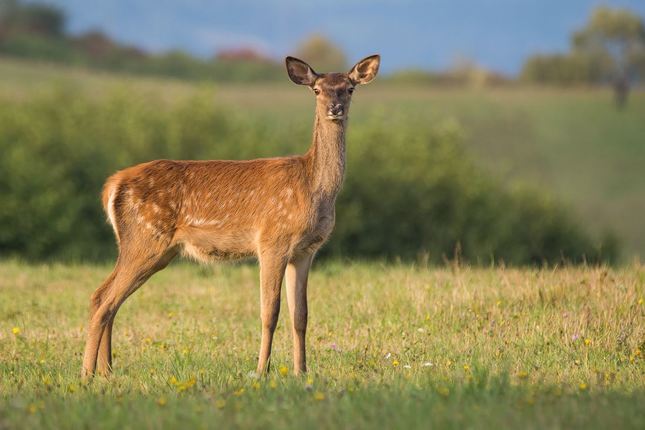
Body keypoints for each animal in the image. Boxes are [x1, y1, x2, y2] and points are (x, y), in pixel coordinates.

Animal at [82, 53, 380, 380]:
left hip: (151, 247)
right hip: (145, 238)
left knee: (106, 298)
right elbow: (270, 311)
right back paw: (87, 373)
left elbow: (300, 315)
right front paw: (262, 370)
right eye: (316, 90)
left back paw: (106, 371)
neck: (314, 188)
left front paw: (302, 372)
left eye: (349, 88)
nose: (334, 108)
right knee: (104, 299)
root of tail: (112, 185)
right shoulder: (272, 240)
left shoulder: (305, 251)